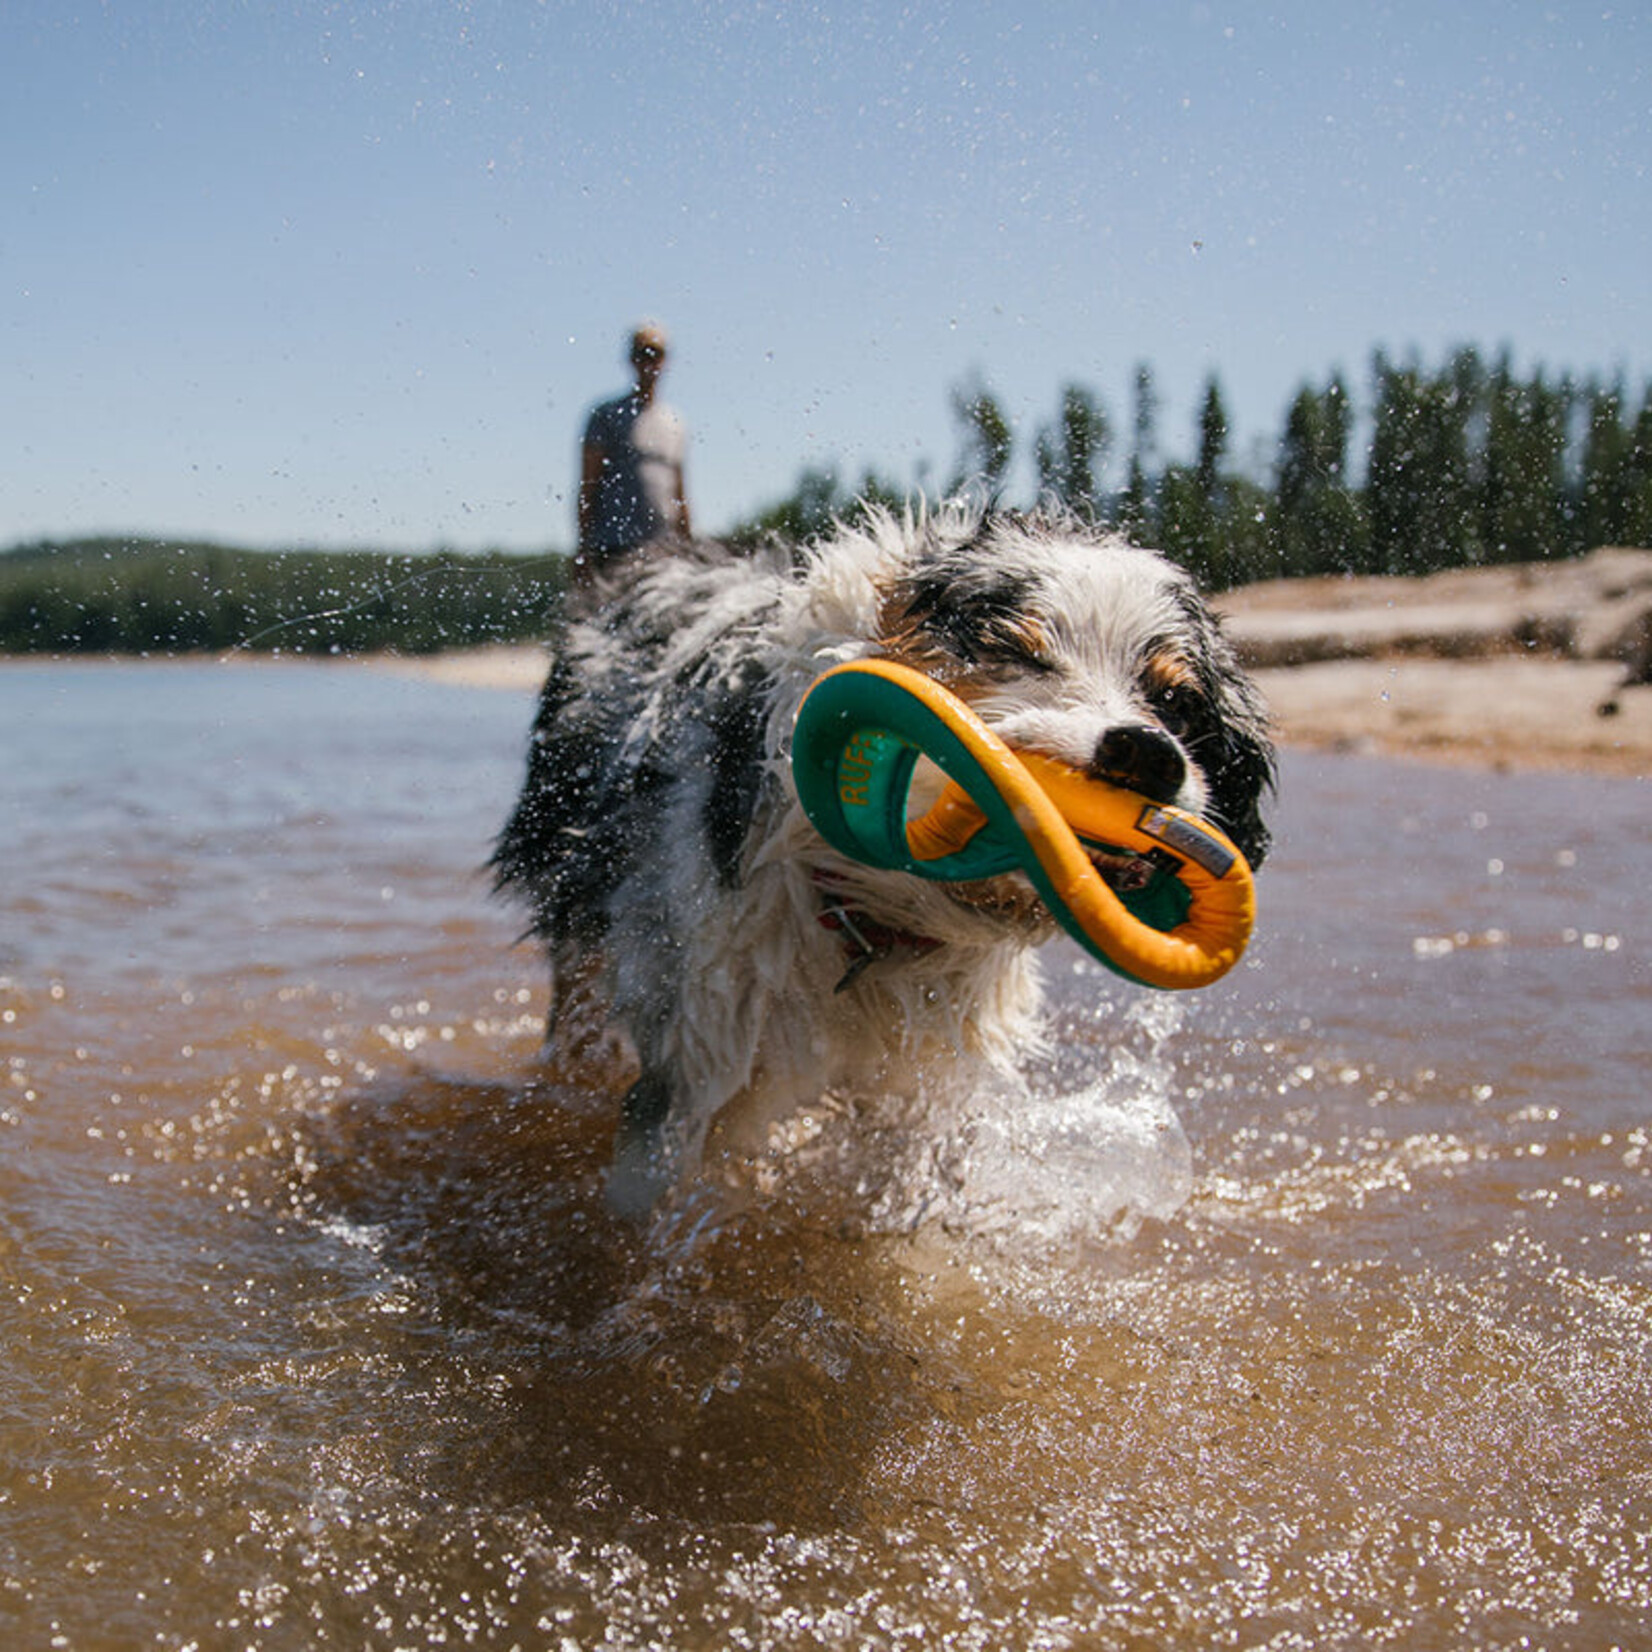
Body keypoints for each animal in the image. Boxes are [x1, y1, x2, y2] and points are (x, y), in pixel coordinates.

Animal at [492, 495, 1275, 1196]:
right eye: (1018, 651)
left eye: (1176, 701)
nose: (1146, 752)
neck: (872, 912)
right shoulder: (699, 1039)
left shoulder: (926, 1078)